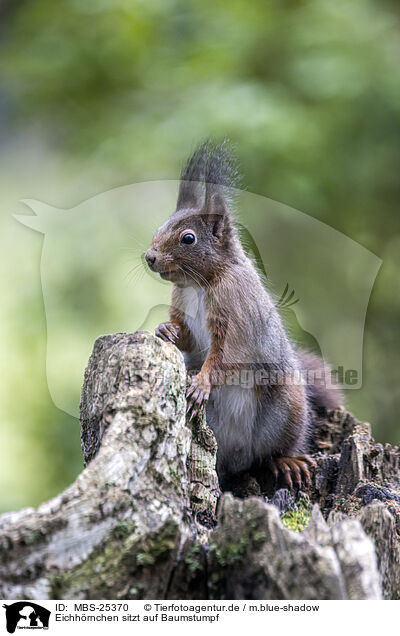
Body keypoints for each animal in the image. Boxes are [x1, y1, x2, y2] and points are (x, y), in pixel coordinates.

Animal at [145, 140, 342, 486]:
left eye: (188, 238)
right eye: (160, 227)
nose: (149, 257)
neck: (199, 285)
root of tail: (239, 456)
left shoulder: (236, 314)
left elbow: (228, 354)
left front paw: (202, 383)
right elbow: (187, 337)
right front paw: (164, 330)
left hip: (285, 408)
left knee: (274, 451)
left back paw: (286, 461)